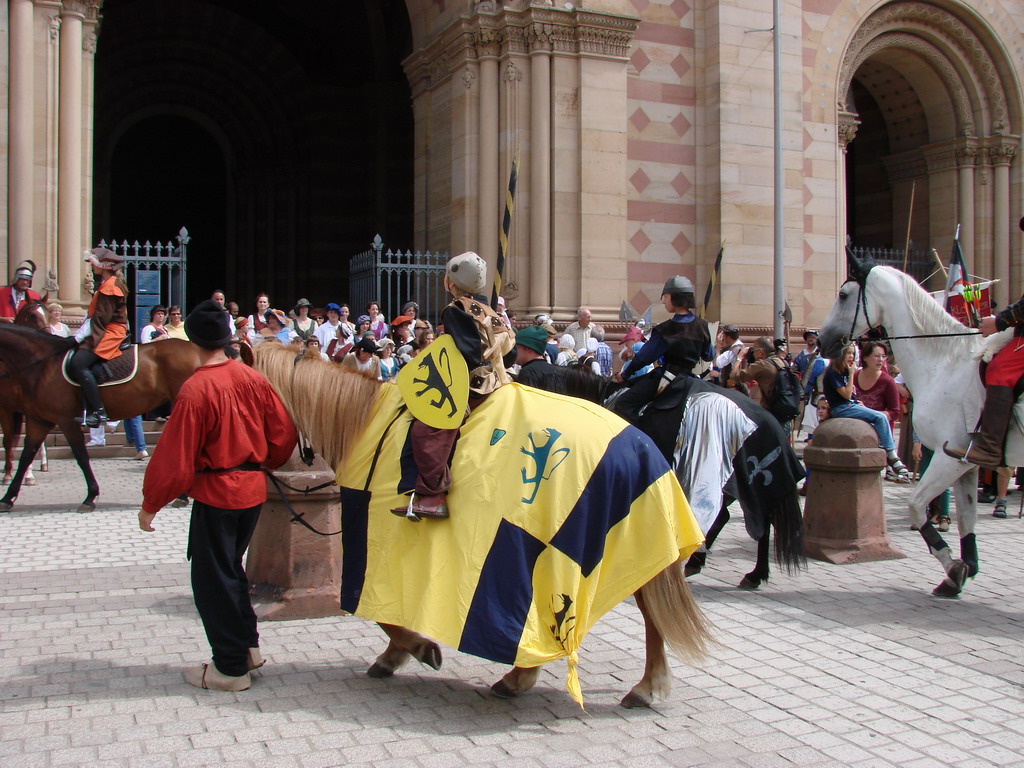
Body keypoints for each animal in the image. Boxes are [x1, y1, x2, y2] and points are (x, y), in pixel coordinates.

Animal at [0, 326, 201, 513]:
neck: (44, 365)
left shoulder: (67, 421)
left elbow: (81, 457)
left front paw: (90, 497)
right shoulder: (39, 421)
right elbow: (26, 456)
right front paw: (8, 498)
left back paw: (183, 495)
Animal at [253, 343, 714, 708]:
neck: (364, 422)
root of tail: (641, 445)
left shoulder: (374, 541)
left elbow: (381, 613)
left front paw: (414, 649)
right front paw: (402, 652)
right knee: (648, 602)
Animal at [817, 256, 1001, 597]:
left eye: (844, 295)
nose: (821, 339)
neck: (947, 363)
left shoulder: (949, 458)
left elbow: (916, 506)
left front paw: (953, 567)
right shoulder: (966, 462)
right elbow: (967, 518)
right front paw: (962, 570)